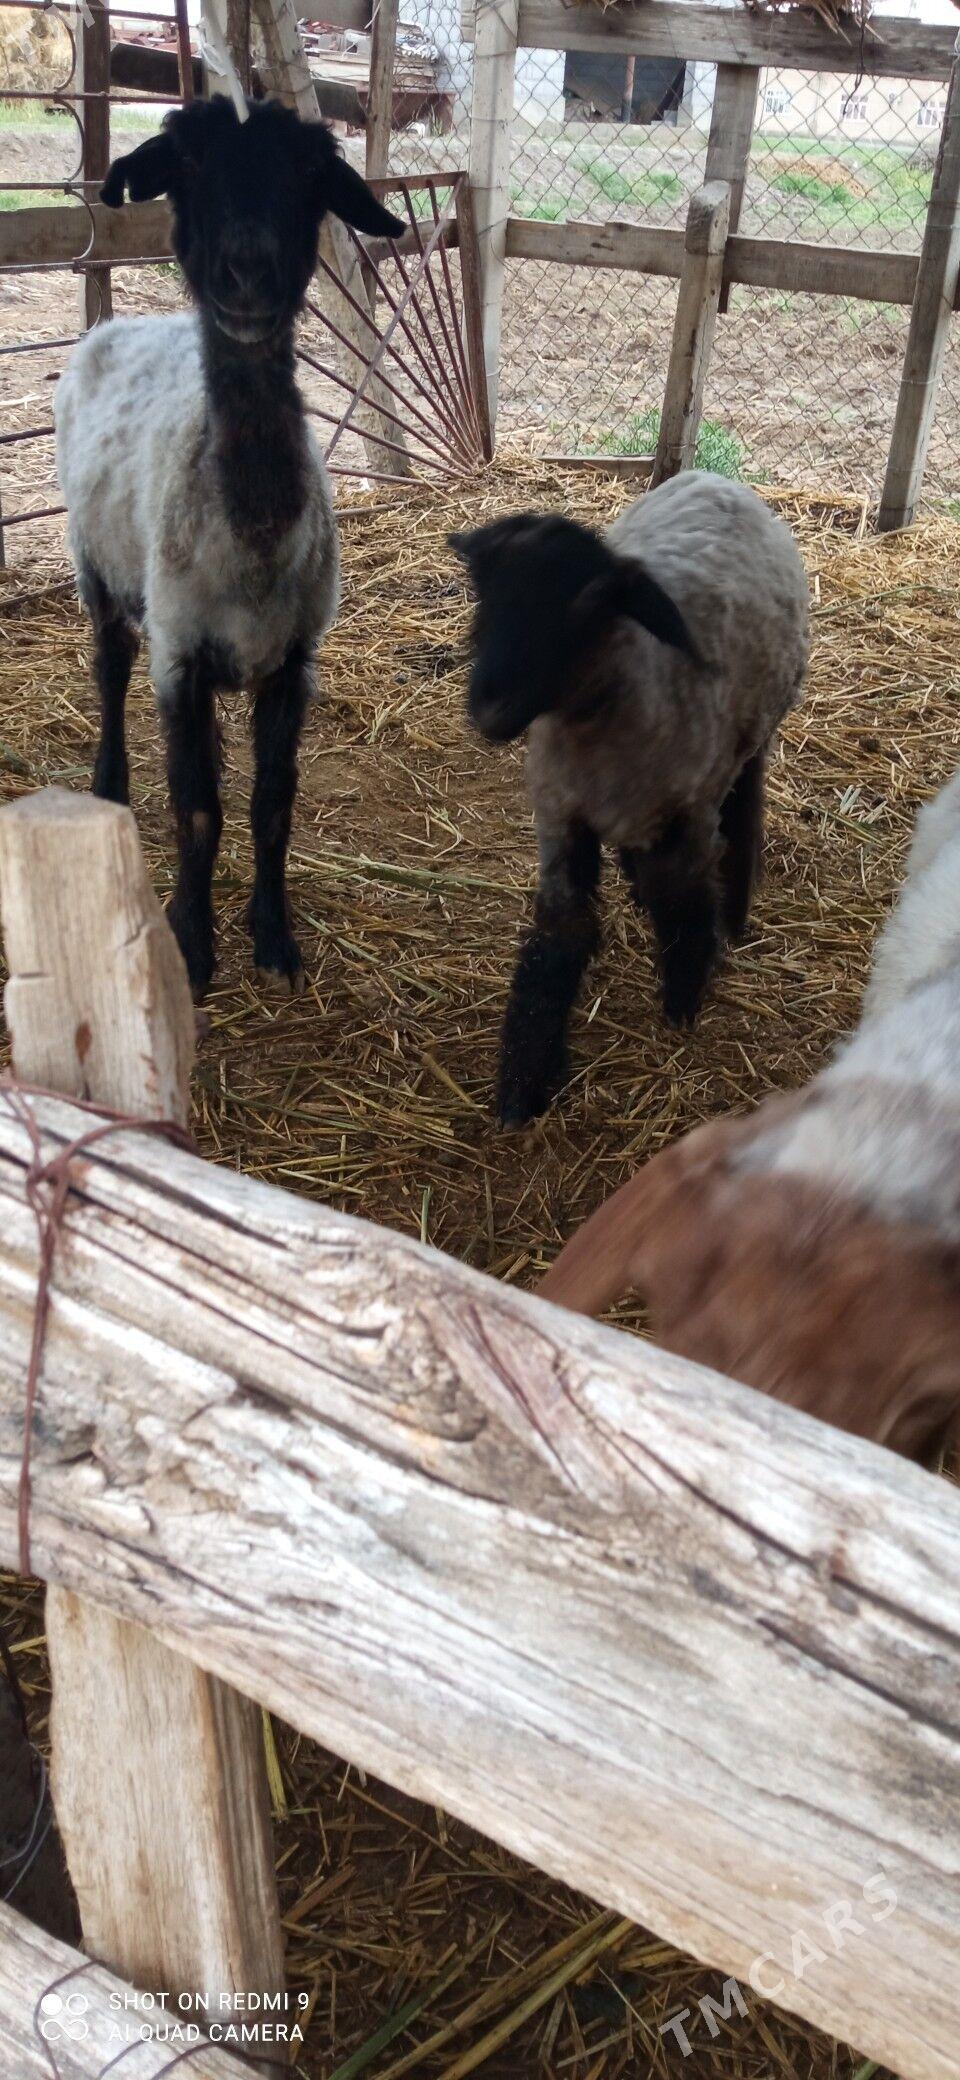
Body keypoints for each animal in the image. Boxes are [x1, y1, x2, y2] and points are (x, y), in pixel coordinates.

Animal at [54, 95, 403, 999]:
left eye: (310, 173)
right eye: (186, 166)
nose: (247, 271)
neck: (250, 533)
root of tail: (128, 321)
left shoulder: (293, 662)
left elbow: (271, 808)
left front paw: (273, 939)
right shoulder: (179, 657)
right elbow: (199, 811)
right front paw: (193, 942)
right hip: (94, 562)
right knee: (109, 668)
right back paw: (109, 783)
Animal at [450, 471, 810, 1126]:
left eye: (587, 604)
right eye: (485, 595)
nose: (488, 709)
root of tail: (716, 477)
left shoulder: (688, 814)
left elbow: (686, 903)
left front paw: (684, 997)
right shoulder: (561, 819)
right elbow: (559, 939)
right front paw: (523, 1085)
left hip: (753, 736)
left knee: (745, 810)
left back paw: (735, 912)